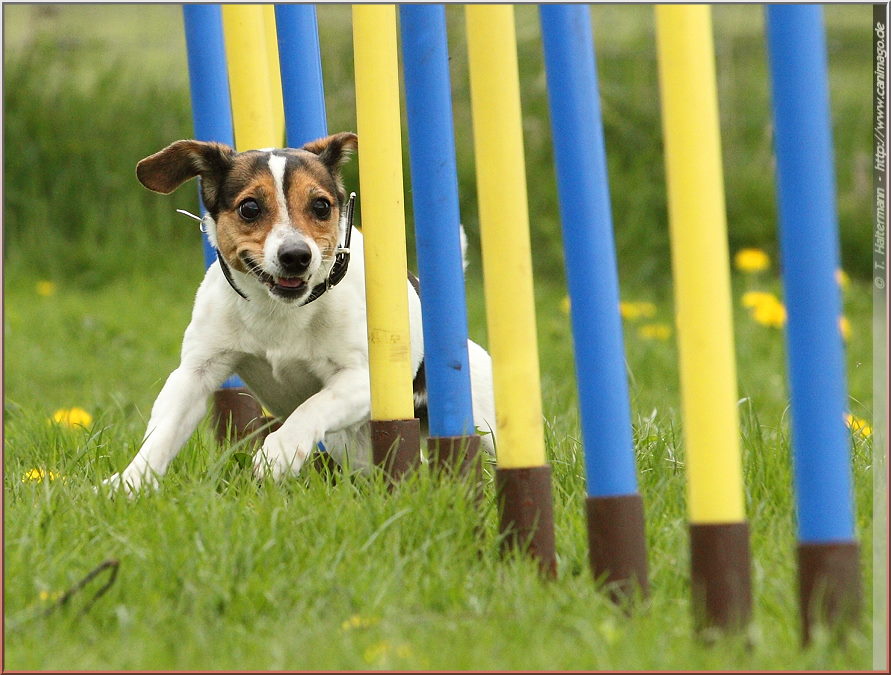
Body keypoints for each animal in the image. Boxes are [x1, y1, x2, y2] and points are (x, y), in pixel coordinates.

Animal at [105, 132, 498, 494]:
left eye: (322, 206)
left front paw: (278, 452)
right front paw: (127, 483)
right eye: (250, 208)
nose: (296, 255)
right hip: (352, 444)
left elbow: (313, 406)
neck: (278, 310)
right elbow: (163, 432)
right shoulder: (195, 372)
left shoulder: (363, 379)